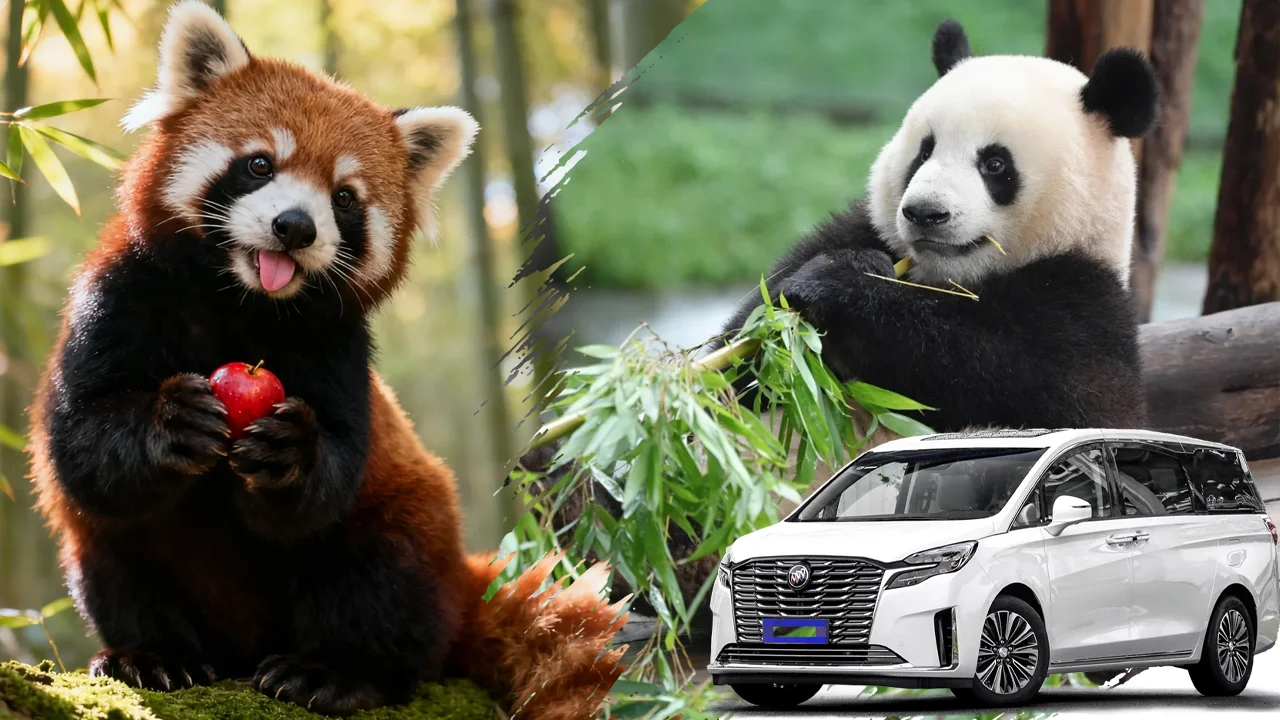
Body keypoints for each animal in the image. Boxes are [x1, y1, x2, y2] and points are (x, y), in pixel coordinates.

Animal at [720, 19, 1159, 433]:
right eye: (924, 151)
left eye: (995, 164)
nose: (925, 213)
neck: (946, 278)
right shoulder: (860, 230)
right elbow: (740, 356)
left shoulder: (1086, 304)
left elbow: (1027, 381)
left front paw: (842, 285)